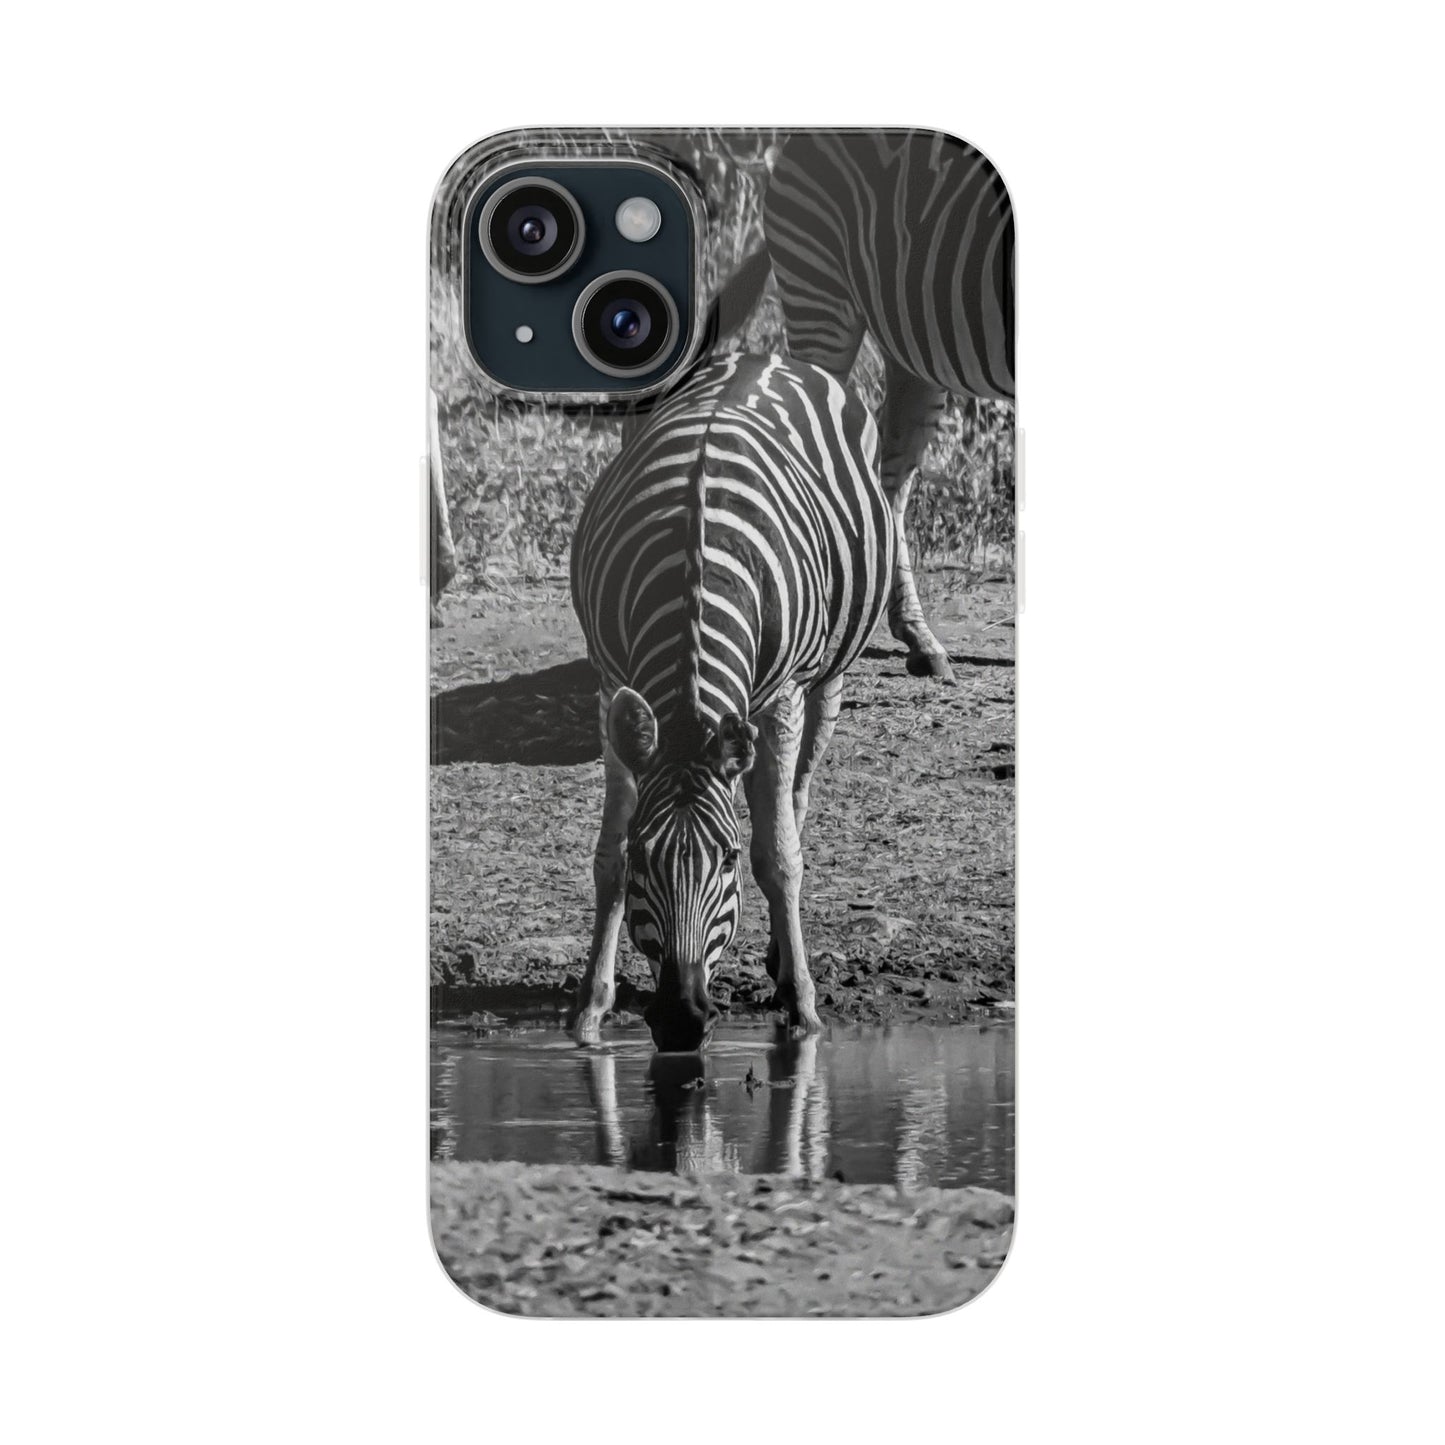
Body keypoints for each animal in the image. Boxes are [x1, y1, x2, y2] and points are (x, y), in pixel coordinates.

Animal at [570, 350, 894, 1050]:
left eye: (727, 860)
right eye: (646, 857)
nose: (681, 1020)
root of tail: (764, 355)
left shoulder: (782, 699)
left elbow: (779, 857)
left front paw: (803, 1007)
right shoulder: (610, 685)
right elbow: (607, 857)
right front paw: (591, 1007)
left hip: (824, 678)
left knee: (795, 798)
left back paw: (782, 958)